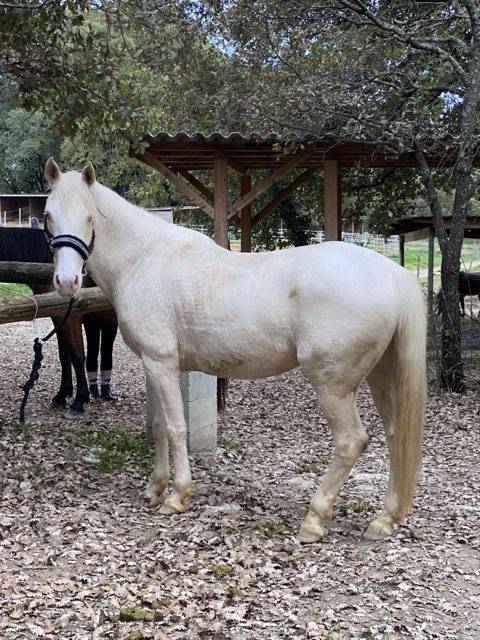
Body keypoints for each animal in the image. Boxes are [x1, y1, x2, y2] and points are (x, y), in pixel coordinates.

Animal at [0, 225, 118, 417]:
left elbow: (77, 356)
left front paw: (79, 401)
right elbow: (65, 356)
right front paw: (62, 395)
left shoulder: (71, 318)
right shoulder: (59, 319)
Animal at [43, 157, 426, 543]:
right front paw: (155, 488)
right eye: (48, 216)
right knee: (396, 435)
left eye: (89, 217)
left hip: (333, 387)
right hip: (381, 377)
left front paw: (177, 496)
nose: (67, 282)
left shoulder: (162, 364)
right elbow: (159, 426)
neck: (145, 259)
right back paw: (385, 518)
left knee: (351, 442)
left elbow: (176, 428)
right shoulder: (154, 365)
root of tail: (393, 275)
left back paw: (314, 519)